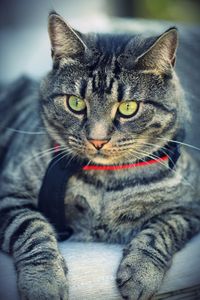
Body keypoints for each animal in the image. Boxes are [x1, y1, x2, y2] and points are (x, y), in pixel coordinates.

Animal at [0, 11, 200, 300]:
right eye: (75, 103)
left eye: (128, 108)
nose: (97, 140)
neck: (105, 183)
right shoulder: (9, 191)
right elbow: (31, 228)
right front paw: (43, 281)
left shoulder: (190, 207)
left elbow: (162, 230)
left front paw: (141, 273)